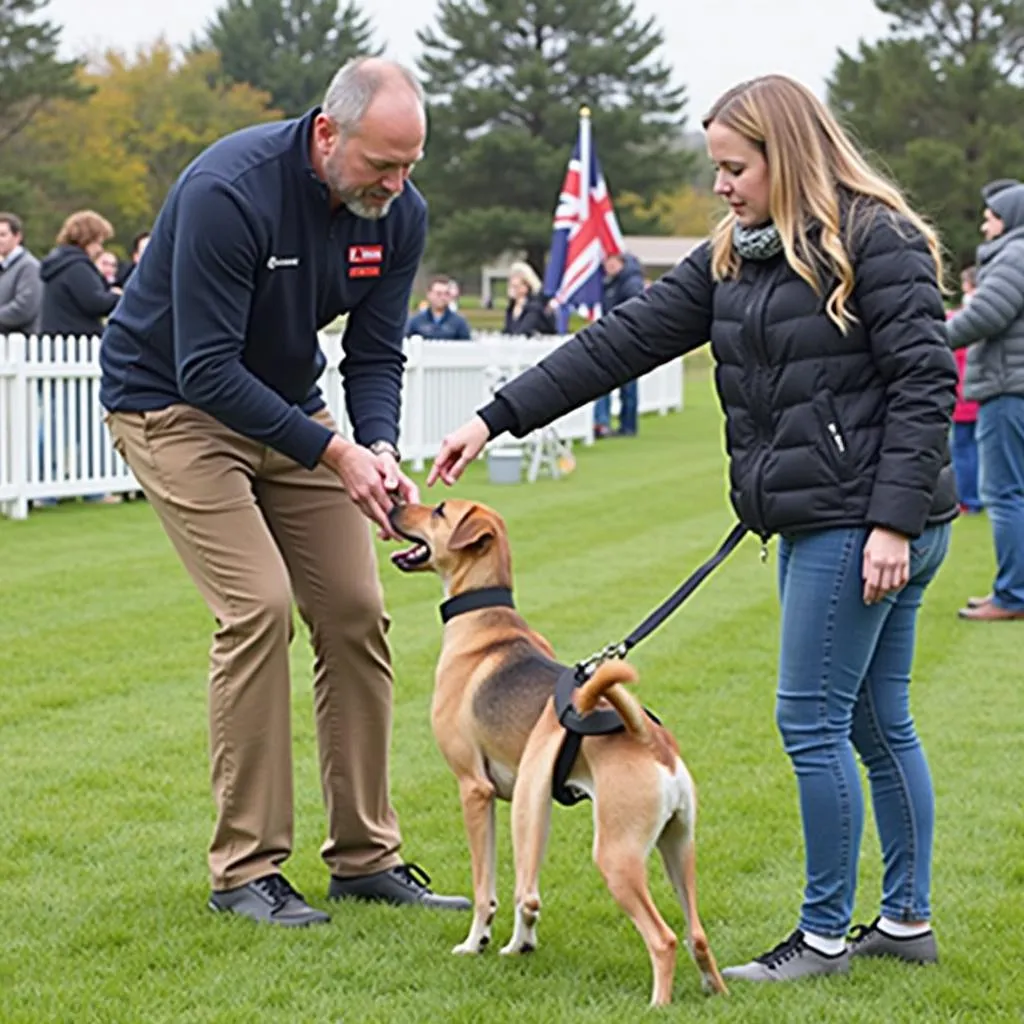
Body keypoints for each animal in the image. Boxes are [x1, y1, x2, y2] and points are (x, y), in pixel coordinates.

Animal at [385, 499, 729, 1003]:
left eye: (440, 510)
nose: (393, 503)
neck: (484, 625)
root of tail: (649, 740)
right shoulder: (526, 798)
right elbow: (527, 894)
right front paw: (519, 944)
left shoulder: (474, 790)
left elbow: (486, 887)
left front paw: (475, 943)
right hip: (679, 846)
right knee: (696, 935)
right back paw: (715, 990)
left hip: (618, 856)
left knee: (663, 939)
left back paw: (658, 1004)